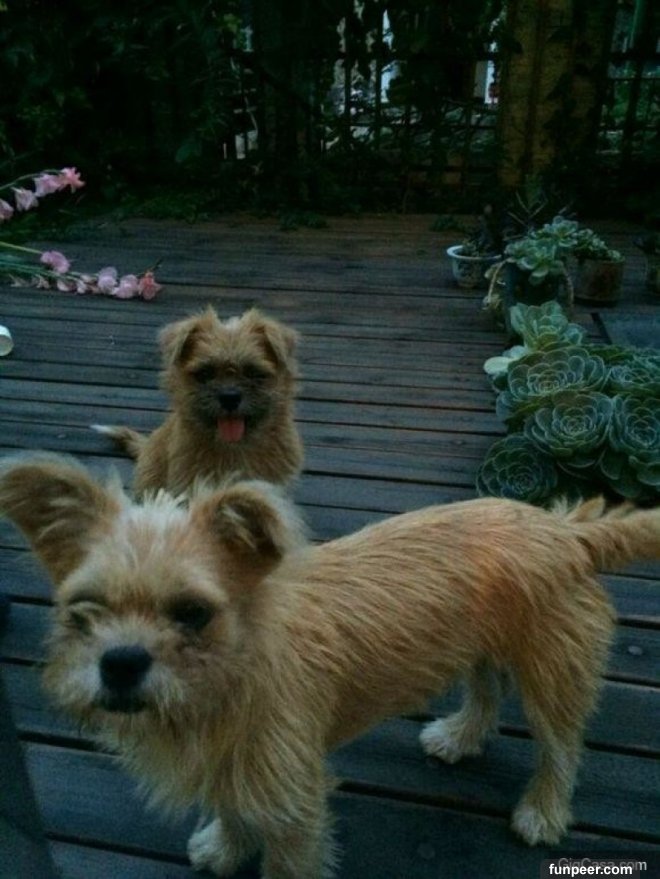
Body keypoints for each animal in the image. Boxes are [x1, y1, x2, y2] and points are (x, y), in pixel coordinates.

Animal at [2, 454, 659, 878]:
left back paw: (542, 811)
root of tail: (565, 530)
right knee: (485, 689)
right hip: (483, 642)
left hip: (554, 670)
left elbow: (286, 862)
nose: (120, 662)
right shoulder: (238, 767)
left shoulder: (293, 799)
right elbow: (232, 808)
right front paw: (225, 847)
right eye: (84, 608)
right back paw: (460, 736)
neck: (229, 680)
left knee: (561, 747)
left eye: (192, 613)